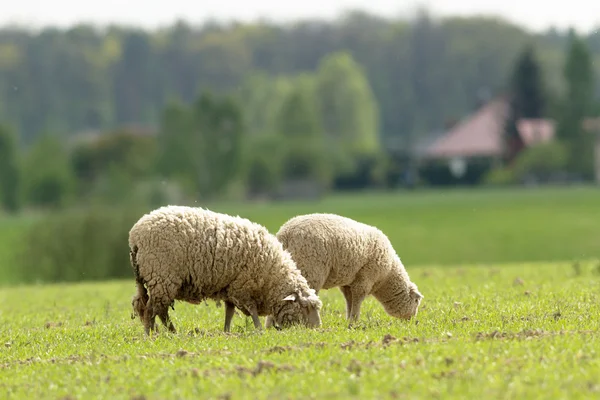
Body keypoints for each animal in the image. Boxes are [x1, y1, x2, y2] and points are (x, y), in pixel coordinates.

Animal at [127, 206, 324, 334]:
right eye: (306, 308)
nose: (318, 329)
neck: (272, 277)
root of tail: (135, 234)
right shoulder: (243, 286)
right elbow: (251, 310)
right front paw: (259, 329)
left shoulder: (231, 287)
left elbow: (229, 312)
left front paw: (227, 331)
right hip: (161, 275)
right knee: (152, 309)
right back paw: (151, 334)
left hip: (149, 280)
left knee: (153, 308)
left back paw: (171, 332)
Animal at [264, 212, 424, 328]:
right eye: (416, 301)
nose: (412, 321)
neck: (387, 274)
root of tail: (285, 234)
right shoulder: (365, 278)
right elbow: (358, 299)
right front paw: (354, 321)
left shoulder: (349, 281)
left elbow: (349, 300)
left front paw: (349, 320)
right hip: (309, 270)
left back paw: (270, 326)